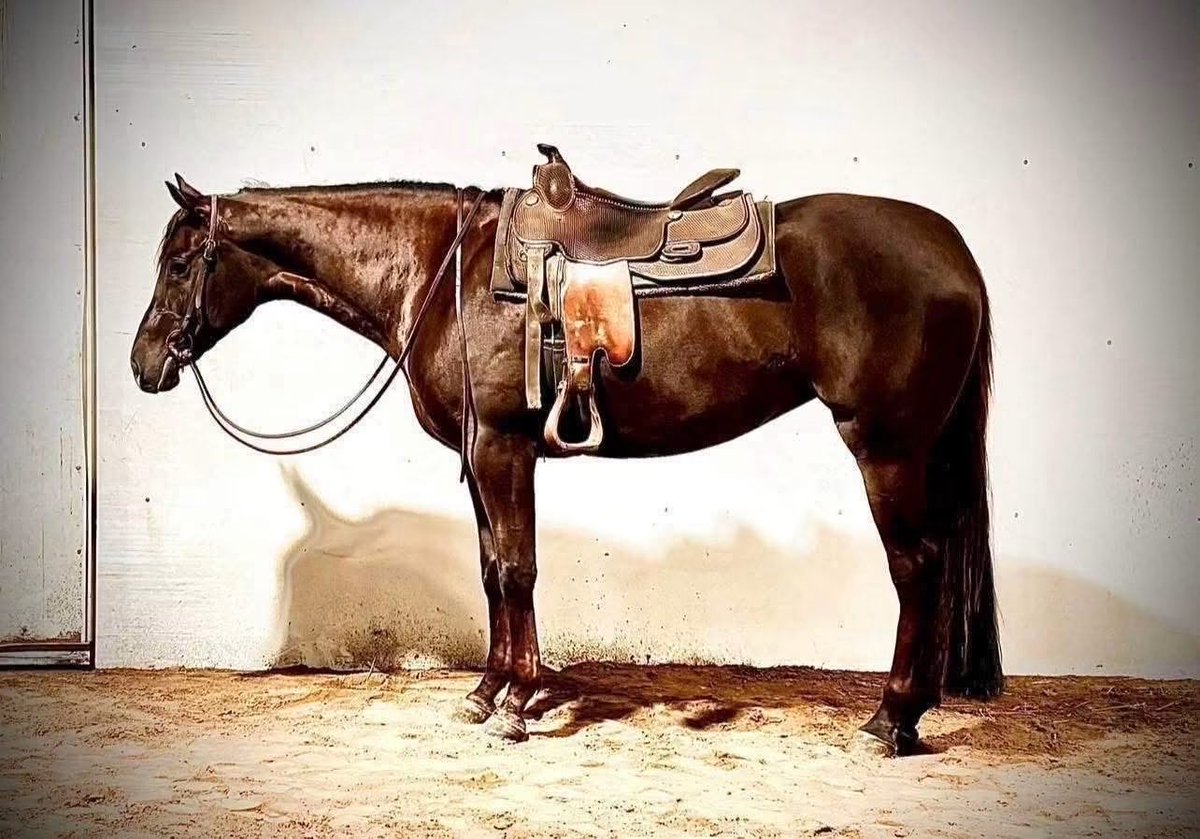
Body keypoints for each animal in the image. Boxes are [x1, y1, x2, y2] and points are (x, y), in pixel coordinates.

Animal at [130, 163, 1001, 755]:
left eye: (179, 263)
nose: (144, 364)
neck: (444, 272)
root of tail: (955, 250)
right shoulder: (480, 453)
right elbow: (492, 570)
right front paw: (486, 692)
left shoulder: (502, 447)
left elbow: (518, 569)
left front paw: (517, 703)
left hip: (885, 447)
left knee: (918, 566)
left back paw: (890, 719)